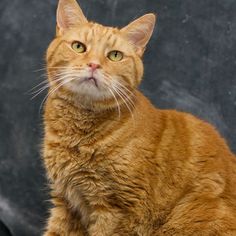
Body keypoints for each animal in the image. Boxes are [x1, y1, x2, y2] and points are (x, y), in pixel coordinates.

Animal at [42, 0, 236, 236]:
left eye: (115, 55)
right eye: (79, 46)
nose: (94, 65)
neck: (79, 129)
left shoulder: (118, 209)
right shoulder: (66, 202)